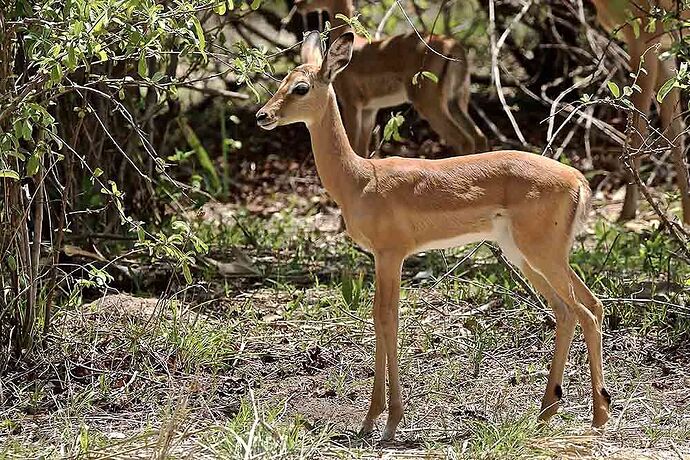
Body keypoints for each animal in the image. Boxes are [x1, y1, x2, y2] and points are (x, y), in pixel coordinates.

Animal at [256, 32, 608, 442]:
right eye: (282, 80)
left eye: (300, 86)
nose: (263, 116)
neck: (360, 179)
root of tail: (578, 180)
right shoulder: (382, 258)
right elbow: (380, 317)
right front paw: (374, 420)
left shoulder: (391, 255)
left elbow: (387, 318)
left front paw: (387, 420)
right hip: (528, 256)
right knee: (579, 308)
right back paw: (553, 413)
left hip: (542, 255)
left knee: (582, 310)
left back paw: (592, 415)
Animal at [292, 0, 490, 156]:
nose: (297, 3)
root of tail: (454, 47)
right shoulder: (369, 110)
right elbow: (361, 150)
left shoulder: (352, 104)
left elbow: (353, 146)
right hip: (456, 101)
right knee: (479, 137)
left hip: (430, 104)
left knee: (464, 140)